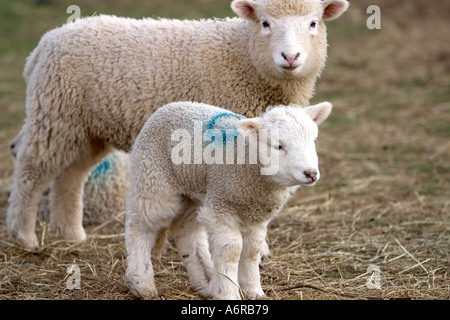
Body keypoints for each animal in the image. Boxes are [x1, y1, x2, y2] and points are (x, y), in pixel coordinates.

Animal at [7, 0, 352, 248]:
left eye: (313, 23)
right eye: (265, 23)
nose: (290, 57)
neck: (243, 54)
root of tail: (45, 42)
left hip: (87, 128)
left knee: (71, 176)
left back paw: (70, 234)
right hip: (55, 115)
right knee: (31, 170)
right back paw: (24, 236)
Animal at [125, 100, 332, 300]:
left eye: (313, 140)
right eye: (279, 146)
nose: (311, 174)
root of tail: (167, 106)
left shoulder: (255, 215)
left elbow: (252, 250)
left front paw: (253, 291)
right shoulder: (221, 207)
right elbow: (231, 250)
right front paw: (228, 292)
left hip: (193, 191)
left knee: (186, 230)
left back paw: (205, 280)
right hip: (154, 181)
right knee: (140, 225)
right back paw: (141, 283)